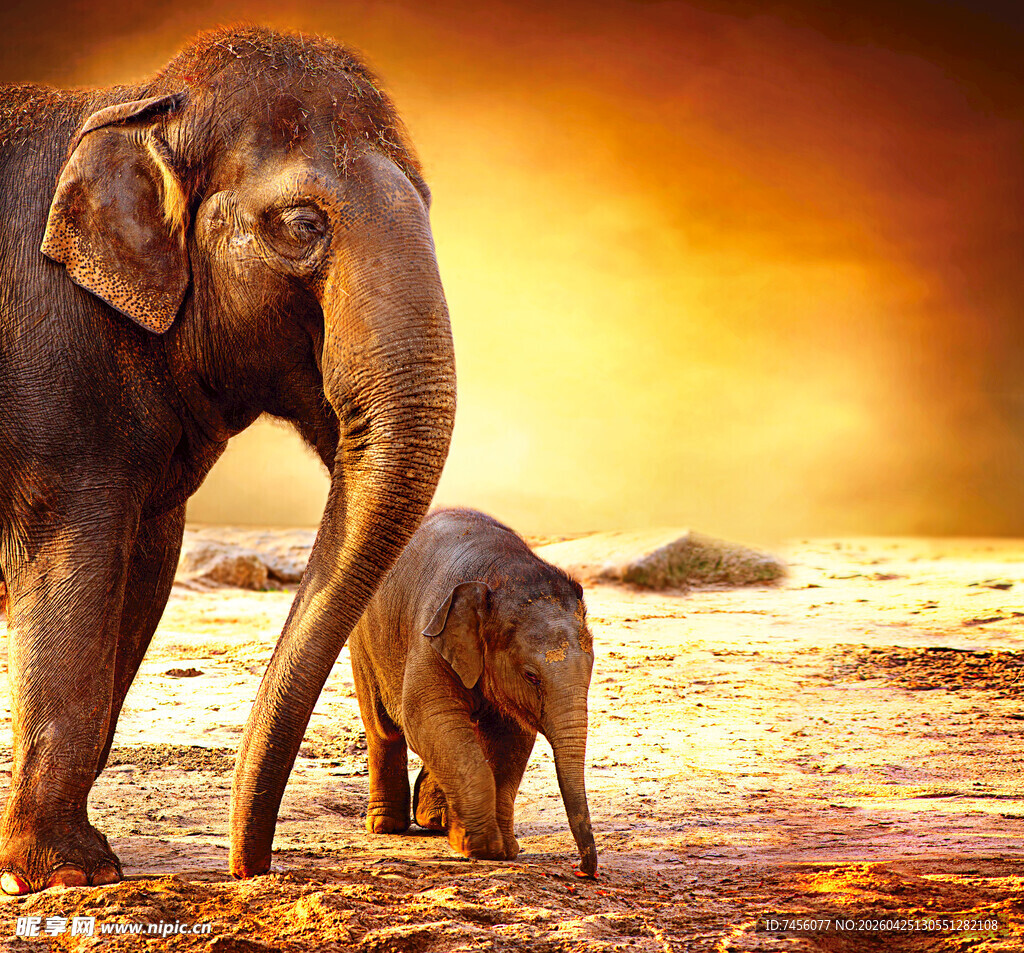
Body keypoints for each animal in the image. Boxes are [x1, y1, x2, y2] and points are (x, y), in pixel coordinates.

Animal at [0, 26, 456, 893]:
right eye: (304, 224)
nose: (248, 867)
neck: (135, 102)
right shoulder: (52, 377)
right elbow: (73, 571)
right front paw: (69, 874)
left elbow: (139, 578)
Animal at [348, 507, 598, 877]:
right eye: (531, 676)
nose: (583, 868)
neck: (502, 570)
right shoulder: (431, 632)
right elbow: (426, 718)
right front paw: (481, 847)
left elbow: (510, 739)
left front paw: (502, 848)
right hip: (365, 638)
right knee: (383, 727)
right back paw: (385, 826)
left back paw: (435, 820)